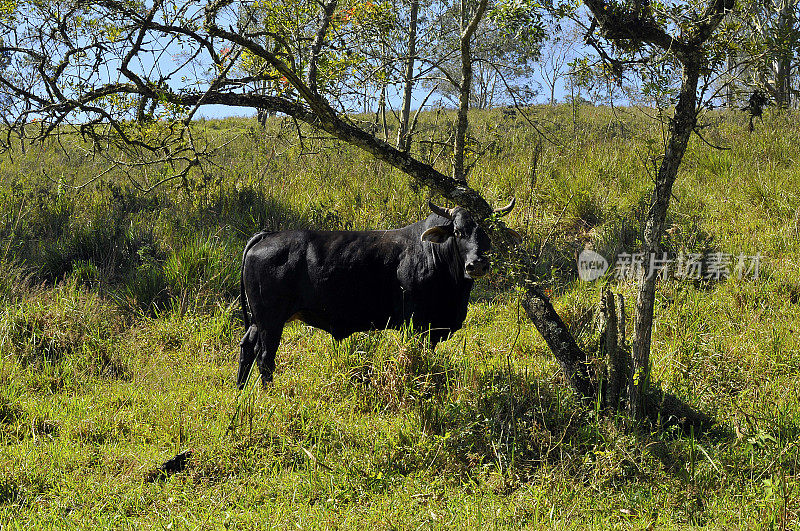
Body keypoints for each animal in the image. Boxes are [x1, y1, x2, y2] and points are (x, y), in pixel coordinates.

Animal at [238, 202, 520, 388]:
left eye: (488, 234)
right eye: (459, 232)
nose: (477, 264)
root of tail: (268, 235)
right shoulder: (417, 324)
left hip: (258, 320)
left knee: (247, 347)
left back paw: (242, 391)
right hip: (271, 321)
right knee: (265, 358)